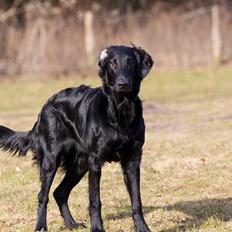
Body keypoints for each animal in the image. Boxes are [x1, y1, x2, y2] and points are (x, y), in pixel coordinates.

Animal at [0, 44, 153, 231]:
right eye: (113, 63)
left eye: (130, 62)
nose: (122, 83)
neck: (120, 111)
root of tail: (45, 106)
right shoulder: (95, 161)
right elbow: (95, 200)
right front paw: (97, 228)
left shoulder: (133, 159)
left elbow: (136, 200)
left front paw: (142, 227)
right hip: (51, 160)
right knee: (43, 195)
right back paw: (41, 226)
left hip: (80, 163)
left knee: (60, 192)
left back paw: (71, 223)